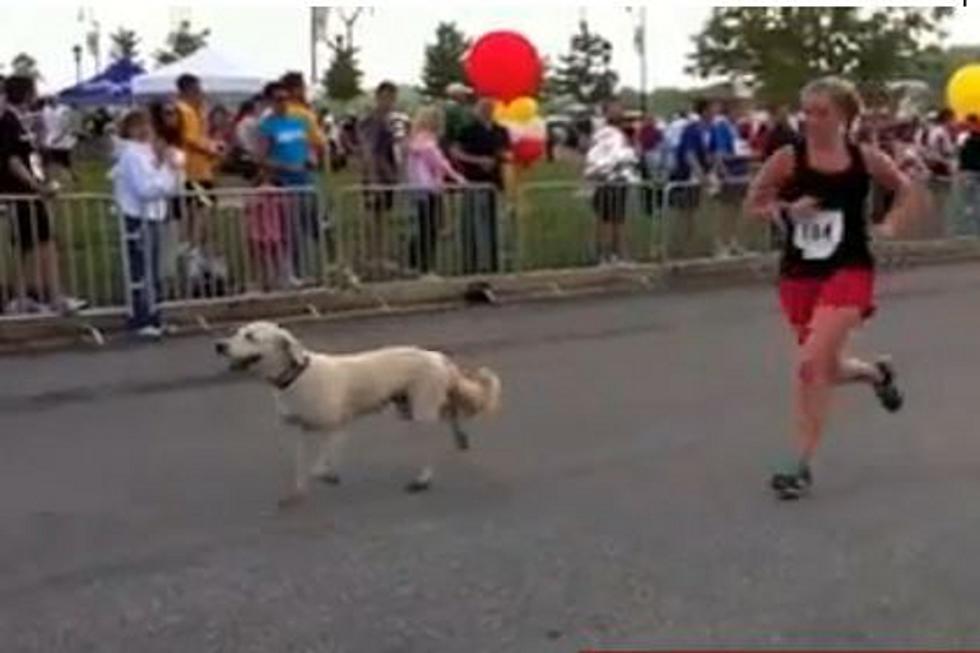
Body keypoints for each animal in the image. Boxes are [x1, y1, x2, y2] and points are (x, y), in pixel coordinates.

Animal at [217, 320, 502, 510]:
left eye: (251, 336)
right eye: (236, 332)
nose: (219, 345)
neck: (297, 375)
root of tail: (438, 357)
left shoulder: (338, 427)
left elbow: (319, 466)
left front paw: (328, 476)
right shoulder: (302, 432)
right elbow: (302, 467)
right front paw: (297, 493)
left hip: (421, 411)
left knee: (432, 442)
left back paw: (423, 479)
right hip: (410, 405)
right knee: (452, 411)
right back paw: (461, 439)